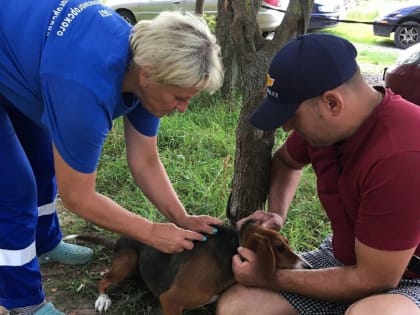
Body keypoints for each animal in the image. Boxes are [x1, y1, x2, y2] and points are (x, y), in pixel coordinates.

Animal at [69, 222, 310, 315]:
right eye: (279, 247)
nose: (307, 267)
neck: (231, 250)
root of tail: (120, 238)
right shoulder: (170, 300)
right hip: (126, 262)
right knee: (104, 279)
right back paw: (103, 299)